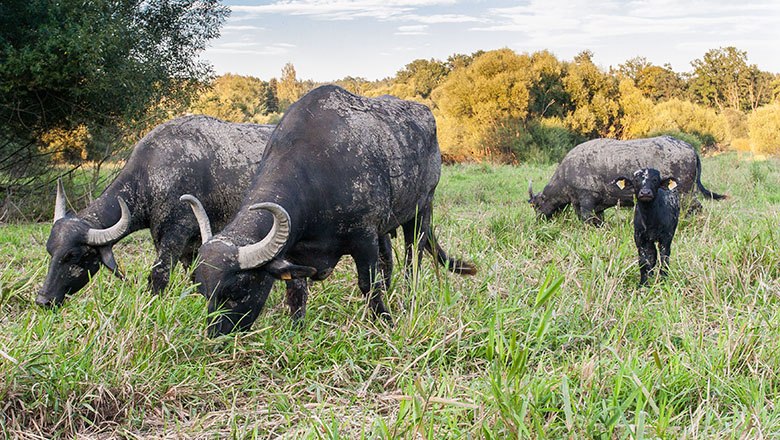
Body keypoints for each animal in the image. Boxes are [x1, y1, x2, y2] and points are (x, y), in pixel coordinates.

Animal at [37, 115, 274, 308]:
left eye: (72, 256)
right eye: (50, 251)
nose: (43, 300)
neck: (151, 176)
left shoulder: (175, 235)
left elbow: (158, 275)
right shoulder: (183, 244)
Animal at [183, 84, 476, 336]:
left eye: (238, 289)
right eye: (203, 291)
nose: (215, 335)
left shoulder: (363, 238)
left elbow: (368, 285)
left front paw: (385, 321)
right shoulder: (296, 253)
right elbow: (296, 293)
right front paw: (296, 329)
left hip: (421, 210)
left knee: (412, 257)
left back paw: (408, 293)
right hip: (386, 228)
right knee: (388, 260)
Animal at [528, 135, 728, 225]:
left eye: (537, 205)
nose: (538, 220)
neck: (565, 175)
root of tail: (690, 148)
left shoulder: (587, 199)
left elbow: (586, 217)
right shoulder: (592, 205)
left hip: (685, 193)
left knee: (695, 208)